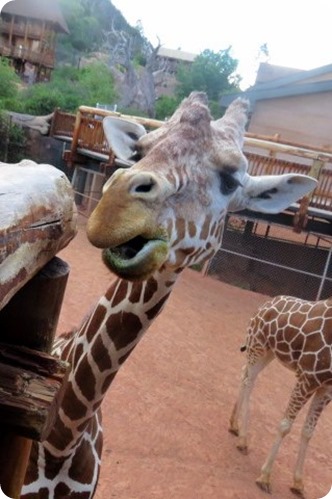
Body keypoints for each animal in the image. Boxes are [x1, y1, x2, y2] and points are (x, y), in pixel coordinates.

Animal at [230, 294, 332, 498]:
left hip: (267, 352)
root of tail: (264, 305)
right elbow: (285, 425)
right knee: (248, 381)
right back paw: (243, 439)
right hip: (257, 345)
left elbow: (309, 431)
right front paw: (265, 477)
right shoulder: (307, 377)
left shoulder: (326, 388)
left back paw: (234, 425)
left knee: (245, 374)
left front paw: (298, 483)